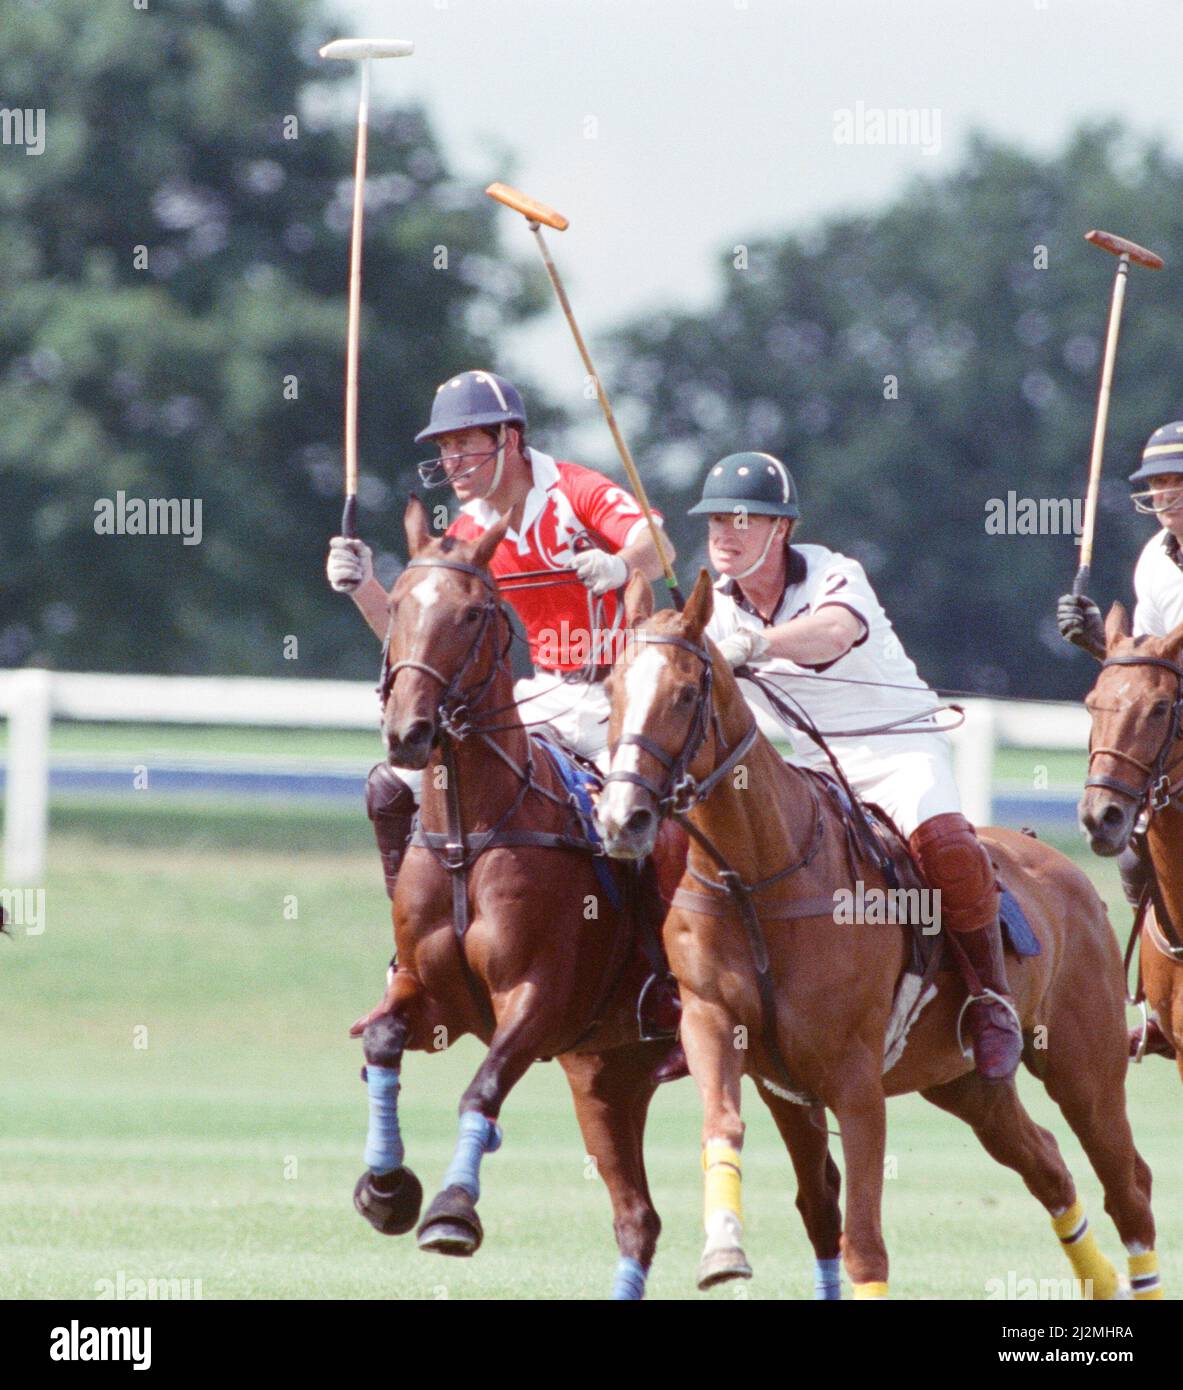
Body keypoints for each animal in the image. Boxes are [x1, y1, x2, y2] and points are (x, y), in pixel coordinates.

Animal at [347, 494, 681, 1295]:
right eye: (398, 603)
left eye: (472, 613)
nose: (409, 733)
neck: (468, 833)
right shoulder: (439, 1001)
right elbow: (382, 1040)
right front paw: (385, 1188)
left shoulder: (539, 999)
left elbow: (482, 1088)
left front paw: (451, 1210)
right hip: (611, 1072)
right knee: (639, 1218)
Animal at [597, 567, 1162, 1301]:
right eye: (610, 691)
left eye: (686, 692)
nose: (621, 818)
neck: (755, 877)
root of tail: (1071, 874)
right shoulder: (721, 1031)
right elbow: (729, 1129)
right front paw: (722, 1249)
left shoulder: (854, 1078)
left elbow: (863, 1245)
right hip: (967, 1082)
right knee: (1046, 1162)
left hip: (1084, 1064)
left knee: (1128, 1183)